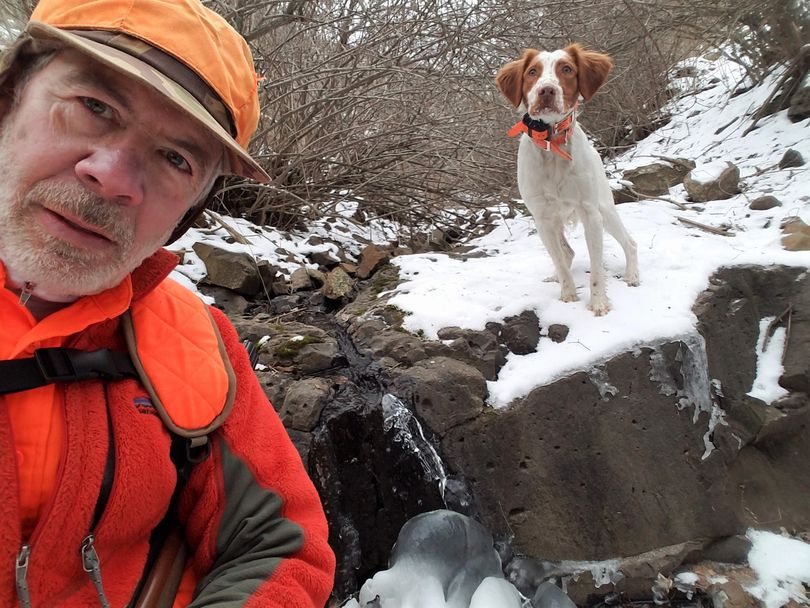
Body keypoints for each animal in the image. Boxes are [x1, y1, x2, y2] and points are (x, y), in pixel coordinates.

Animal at [492, 45, 636, 316]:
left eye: (567, 69)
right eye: (532, 72)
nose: (546, 90)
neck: (551, 144)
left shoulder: (591, 214)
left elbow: (596, 267)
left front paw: (598, 303)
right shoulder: (542, 218)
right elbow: (559, 259)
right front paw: (568, 296)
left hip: (605, 209)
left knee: (630, 242)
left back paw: (632, 275)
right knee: (566, 253)